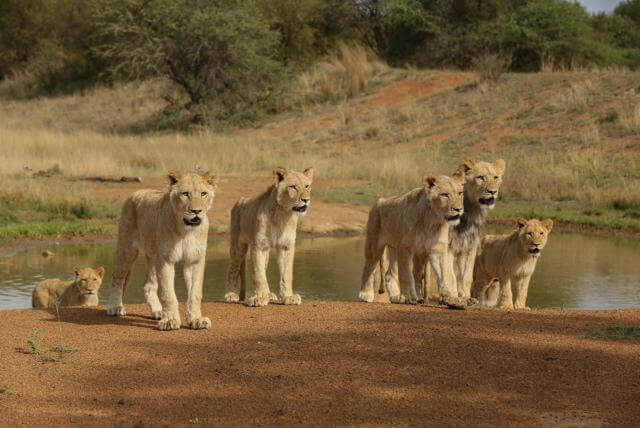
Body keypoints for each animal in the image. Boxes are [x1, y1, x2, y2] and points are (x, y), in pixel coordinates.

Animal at [106, 170, 218, 331]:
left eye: (203, 193)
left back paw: (158, 311)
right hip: (127, 249)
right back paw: (115, 307)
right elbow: (168, 293)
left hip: (153, 256)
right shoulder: (166, 259)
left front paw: (196, 319)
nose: (196, 211)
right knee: (117, 278)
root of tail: (136, 193)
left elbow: (195, 293)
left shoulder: (194, 260)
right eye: (185, 194)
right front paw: (170, 320)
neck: (186, 231)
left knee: (149, 285)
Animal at [224, 166, 313, 307]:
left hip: (264, 252)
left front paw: (289, 297)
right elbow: (259, 275)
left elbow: (286, 274)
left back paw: (269, 294)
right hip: (237, 246)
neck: (283, 214)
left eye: (307, 186)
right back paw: (231, 294)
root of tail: (241, 200)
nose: (306, 200)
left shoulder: (286, 246)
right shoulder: (258, 246)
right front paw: (259, 298)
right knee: (233, 268)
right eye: (293, 187)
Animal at [358, 172, 465, 305]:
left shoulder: (437, 249)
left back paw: (396, 297)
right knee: (369, 268)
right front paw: (409, 296)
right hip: (375, 244)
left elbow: (445, 274)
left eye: (460, 193)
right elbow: (407, 275)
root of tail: (380, 201)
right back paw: (365, 294)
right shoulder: (405, 247)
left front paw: (449, 296)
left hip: (395, 248)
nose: (458, 209)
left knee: (389, 274)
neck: (432, 219)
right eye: (445, 195)